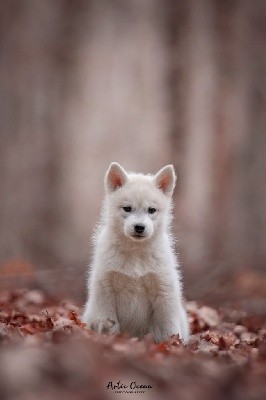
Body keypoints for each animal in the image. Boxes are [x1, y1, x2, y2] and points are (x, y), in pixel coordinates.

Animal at [82, 162, 189, 344]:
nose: (139, 227)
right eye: (127, 208)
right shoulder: (105, 292)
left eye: (151, 210)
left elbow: (169, 329)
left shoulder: (164, 295)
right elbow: (108, 323)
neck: (135, 252)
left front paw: (173, 345)